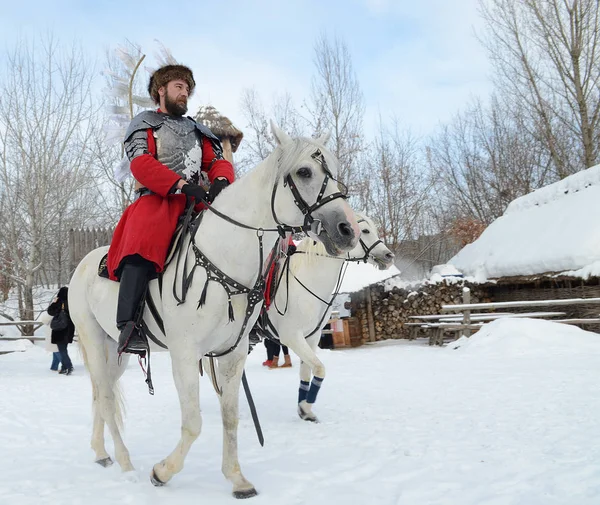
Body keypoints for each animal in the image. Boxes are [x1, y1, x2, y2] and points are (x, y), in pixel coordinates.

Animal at [68, 124, 358, 498]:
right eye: (305, 172)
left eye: (332, 172)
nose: (347, 230)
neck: (226, 254)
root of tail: (85, 264)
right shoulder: (185, 354)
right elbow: (193, 422)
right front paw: (162, 472)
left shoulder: (233, 353)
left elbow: (230, 415)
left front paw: (237, 478)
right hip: (93, 340)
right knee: (104, 397)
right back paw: (125, 462)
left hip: (116, 353)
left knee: (99, 395)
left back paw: (101, 452)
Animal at [256, 213, 394, 422]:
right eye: (365, 230)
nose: (388, 256)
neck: (307, 281)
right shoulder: (292, 337)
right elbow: (319, 368)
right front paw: (306, 406)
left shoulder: (311, 337)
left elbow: (306, 372)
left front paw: (304, 410)